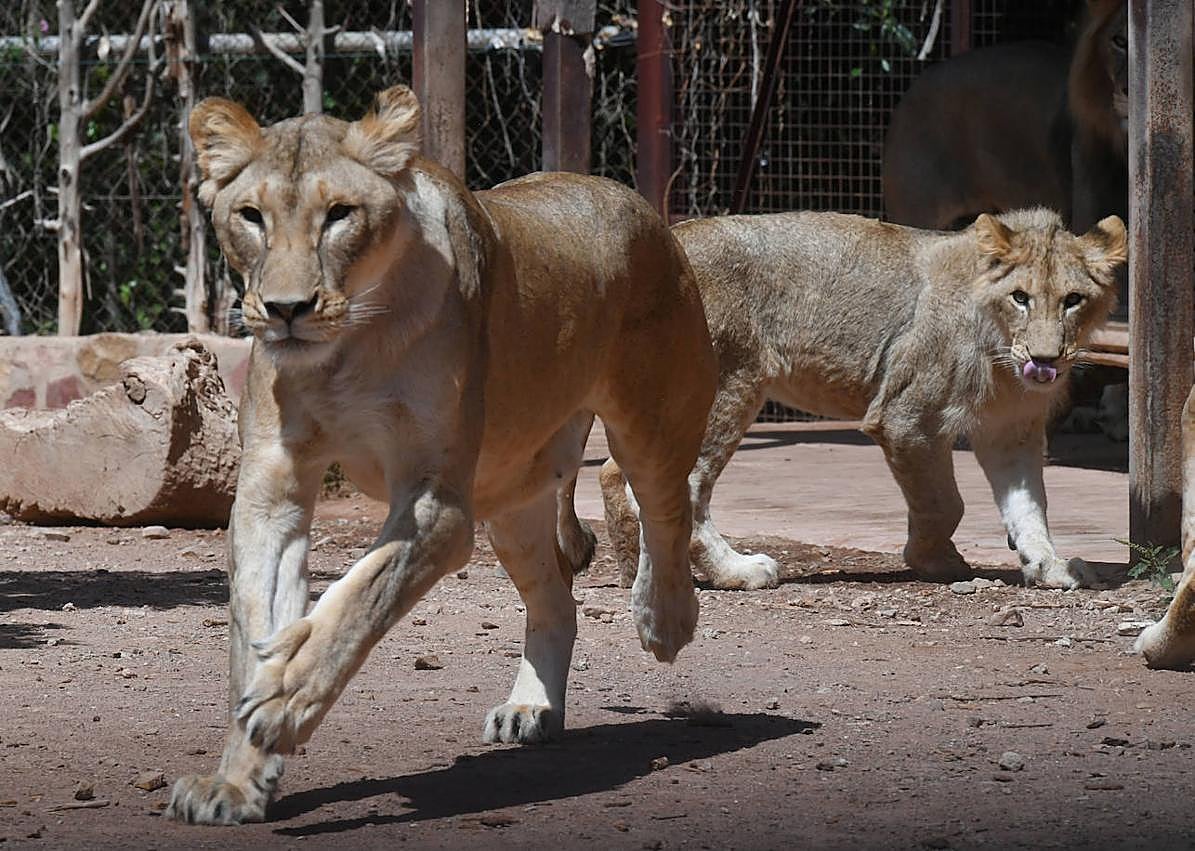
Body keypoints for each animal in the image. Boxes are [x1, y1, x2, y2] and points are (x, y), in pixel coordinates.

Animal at [165, 86, 716, 825]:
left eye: (340, 214)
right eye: (250, 216)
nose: (285, 309)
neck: (347, 351)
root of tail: (637, 204)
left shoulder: (437, 502)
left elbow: (355, 600)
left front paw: (282, 699)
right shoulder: (270, 491)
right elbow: (258, 628)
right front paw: (235, 778)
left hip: (650, 420)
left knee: (666, 505)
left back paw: (664, 619)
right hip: (513, 497)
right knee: (556, 598)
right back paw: (530, 708)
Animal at [596, 208, 1127, 592]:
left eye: (1073, 300)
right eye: (1020, 297)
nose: (1045, 360)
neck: (1003, 357)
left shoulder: (1009, 431)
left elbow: (1029, 507)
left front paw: (1050, 565)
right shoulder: (905, 415)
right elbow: (944, 504)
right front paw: (935, 560)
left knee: (614, 474)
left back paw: (640, 574)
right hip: (725, 387)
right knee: (683, 486)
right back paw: (737, 571)